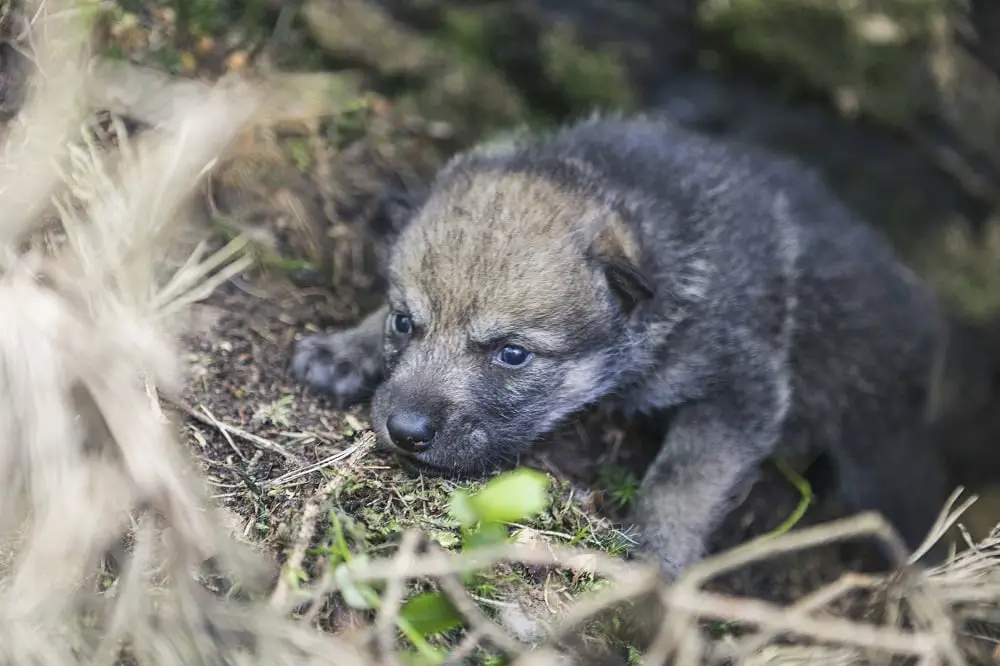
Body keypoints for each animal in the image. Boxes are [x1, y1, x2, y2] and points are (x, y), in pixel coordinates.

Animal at [291, 115, 951, 579]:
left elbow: (684, 482)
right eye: (405, 323)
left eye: (512, 354)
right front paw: (345, 348)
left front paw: (659, 555)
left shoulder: (742, 388)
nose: (404, 430)